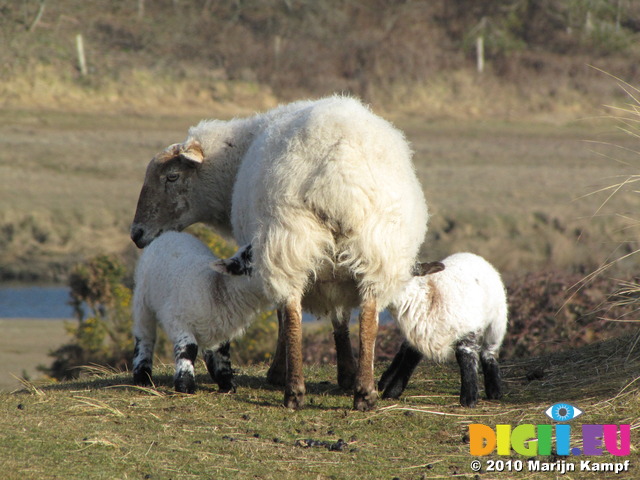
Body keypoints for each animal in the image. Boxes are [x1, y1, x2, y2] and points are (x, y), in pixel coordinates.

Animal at [134, 232, 266, 394]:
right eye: (249, 255)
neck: (216, 288)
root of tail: (170, 233)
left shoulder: (221, 326)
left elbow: (222, 351)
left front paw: (227, 383)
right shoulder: (176, 319)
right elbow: (189, 348)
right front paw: (185, 385)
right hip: (143, 298)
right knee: (145, 336)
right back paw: (142, 377)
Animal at [378, 253, 508, 406]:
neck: (430, 297)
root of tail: (474, 256)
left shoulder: (468, 329)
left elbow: (465, 356)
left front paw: (468, 398)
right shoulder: (419, 332)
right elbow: (409, 359)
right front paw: (391, 392)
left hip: (497, 322)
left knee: (489, 352)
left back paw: (494, 391)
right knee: (402, 349)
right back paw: (383, 381)